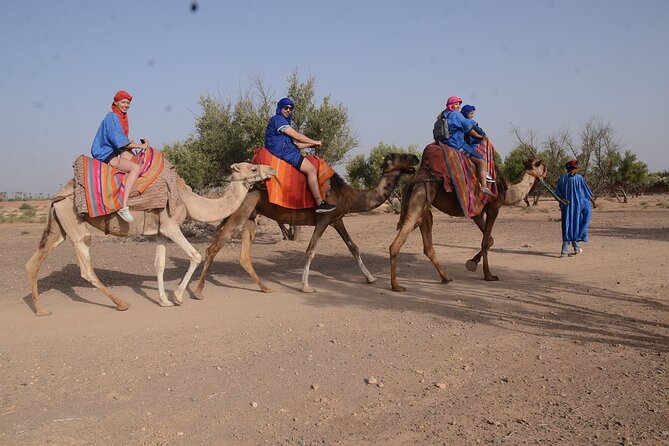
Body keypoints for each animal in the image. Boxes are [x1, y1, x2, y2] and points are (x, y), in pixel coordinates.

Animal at [26, 162, 276, 316]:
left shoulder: (161, 233)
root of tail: (59, 194)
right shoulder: (171, 226)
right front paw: (178, 297)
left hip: (58, 226)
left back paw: (40, 310)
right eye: (253, 167)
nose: (272, 169)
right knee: (86, 267)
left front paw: (164, 300)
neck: (191, 201)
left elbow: (159, 264)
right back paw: (121, 303)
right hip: (75, 224)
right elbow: (195, 256)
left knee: (33, 263)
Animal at [193, 153, 420, 297]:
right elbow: (310, 250)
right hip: (240, 211)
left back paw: (265, 288)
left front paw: (371, 278)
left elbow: (353, 247)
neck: (348, 195)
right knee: (213, 247)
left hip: (250, 217)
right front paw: (305, 287)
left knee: (244, 256)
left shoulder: (337, 219)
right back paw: (198, 292)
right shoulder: (323, 219)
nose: (416, 157)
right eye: (400, 156)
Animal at [389, 158, 546, 291]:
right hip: (419, 200)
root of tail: (412, 181)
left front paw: (472, 262)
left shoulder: (477, 214)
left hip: (424, 210)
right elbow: (485, 242)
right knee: (397, 243)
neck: (508, 190)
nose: (546, 171)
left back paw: (446, 278)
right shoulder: (493, 208)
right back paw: (396, 286)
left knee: (428, 246)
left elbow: (490, 240)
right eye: (542, 166)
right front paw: (489, 275)